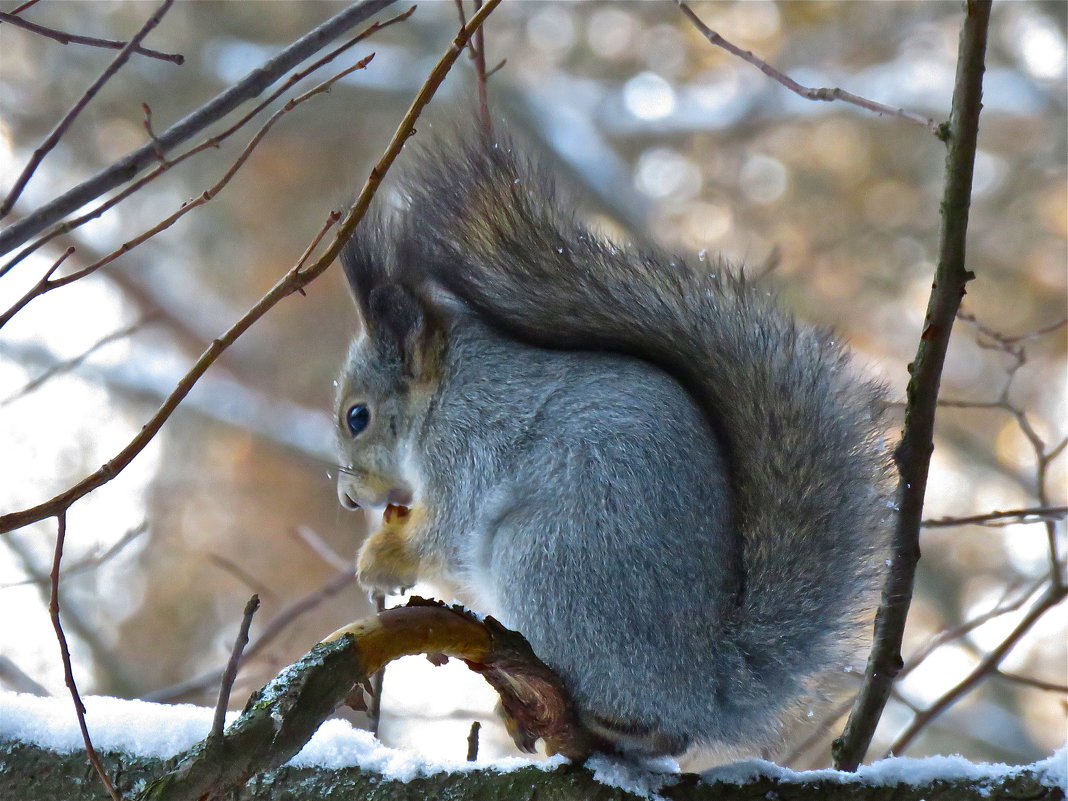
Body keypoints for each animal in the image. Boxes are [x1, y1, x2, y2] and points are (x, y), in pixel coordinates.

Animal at [335, 135, 892, 760]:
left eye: (358, 417)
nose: (350, 498)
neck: (446, 388)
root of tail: (702, 690)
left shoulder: (468, 442)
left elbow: (449, 531)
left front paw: (381, 559)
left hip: (547, 560)